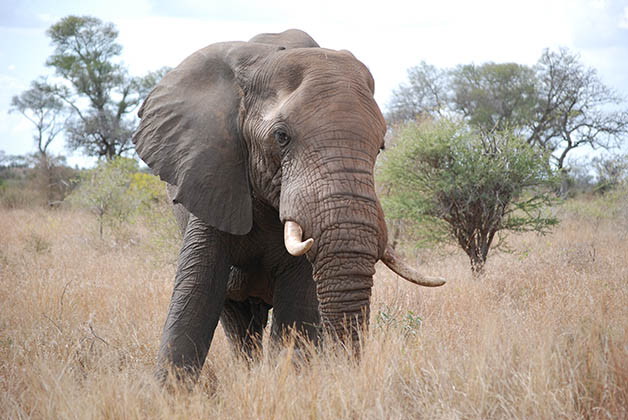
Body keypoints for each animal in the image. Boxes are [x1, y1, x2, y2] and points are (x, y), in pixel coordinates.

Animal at [134, 27, 446, 382]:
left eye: (381, 146)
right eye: (281, 137)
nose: (344, 371)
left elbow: (297, 301)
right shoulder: (214, 172)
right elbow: (197, 288)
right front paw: (171, 389)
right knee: (237, 319)